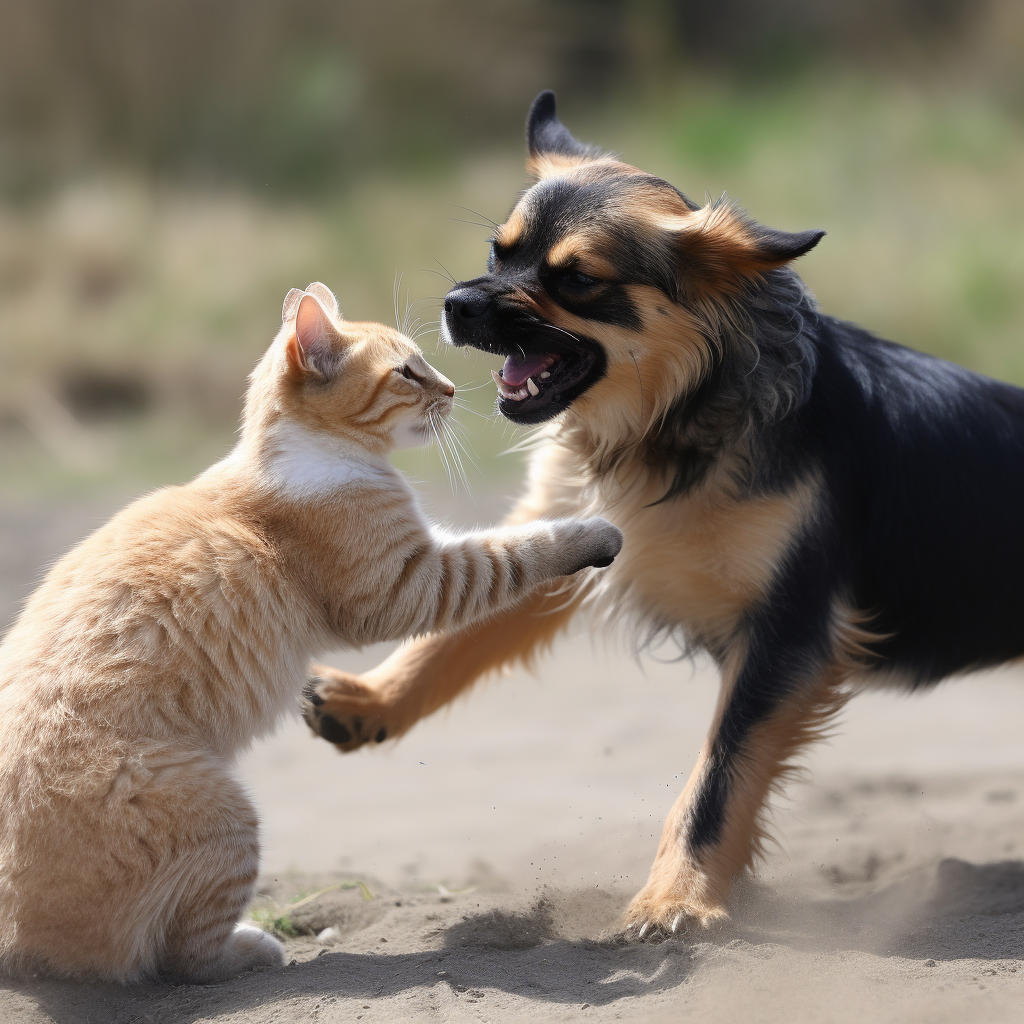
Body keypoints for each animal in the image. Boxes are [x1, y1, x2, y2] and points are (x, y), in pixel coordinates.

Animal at [0, 282, 618, 983]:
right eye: (408, 372)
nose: (452, 389)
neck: (305, 454)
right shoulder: (416, 585)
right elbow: (515, 551)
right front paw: (594, 529)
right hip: (227, 820)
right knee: (186, 958)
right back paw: (257, 946)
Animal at [303, 92, 1024, 937]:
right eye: (496, 252)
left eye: (578, 279)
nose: (455, 303)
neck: (671, 425)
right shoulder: (568, 541)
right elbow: (453, 635)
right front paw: (370, 700)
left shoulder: (788, 635)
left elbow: (717, 779)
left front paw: (677, 899)